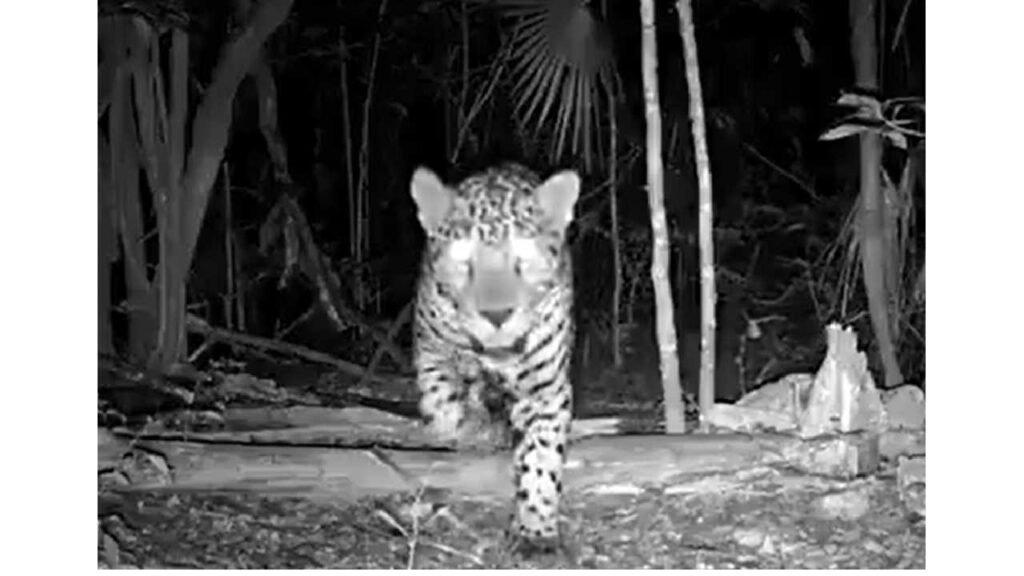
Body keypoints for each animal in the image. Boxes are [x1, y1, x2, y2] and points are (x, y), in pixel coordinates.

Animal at [408, 162, 580, 553]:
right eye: (464, 263)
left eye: (523, 262)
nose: (497, 315)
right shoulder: (431, 355)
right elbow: (447, 406)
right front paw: (479, 431)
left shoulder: (545, 391)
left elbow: (542, 456)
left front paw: (535, 529)